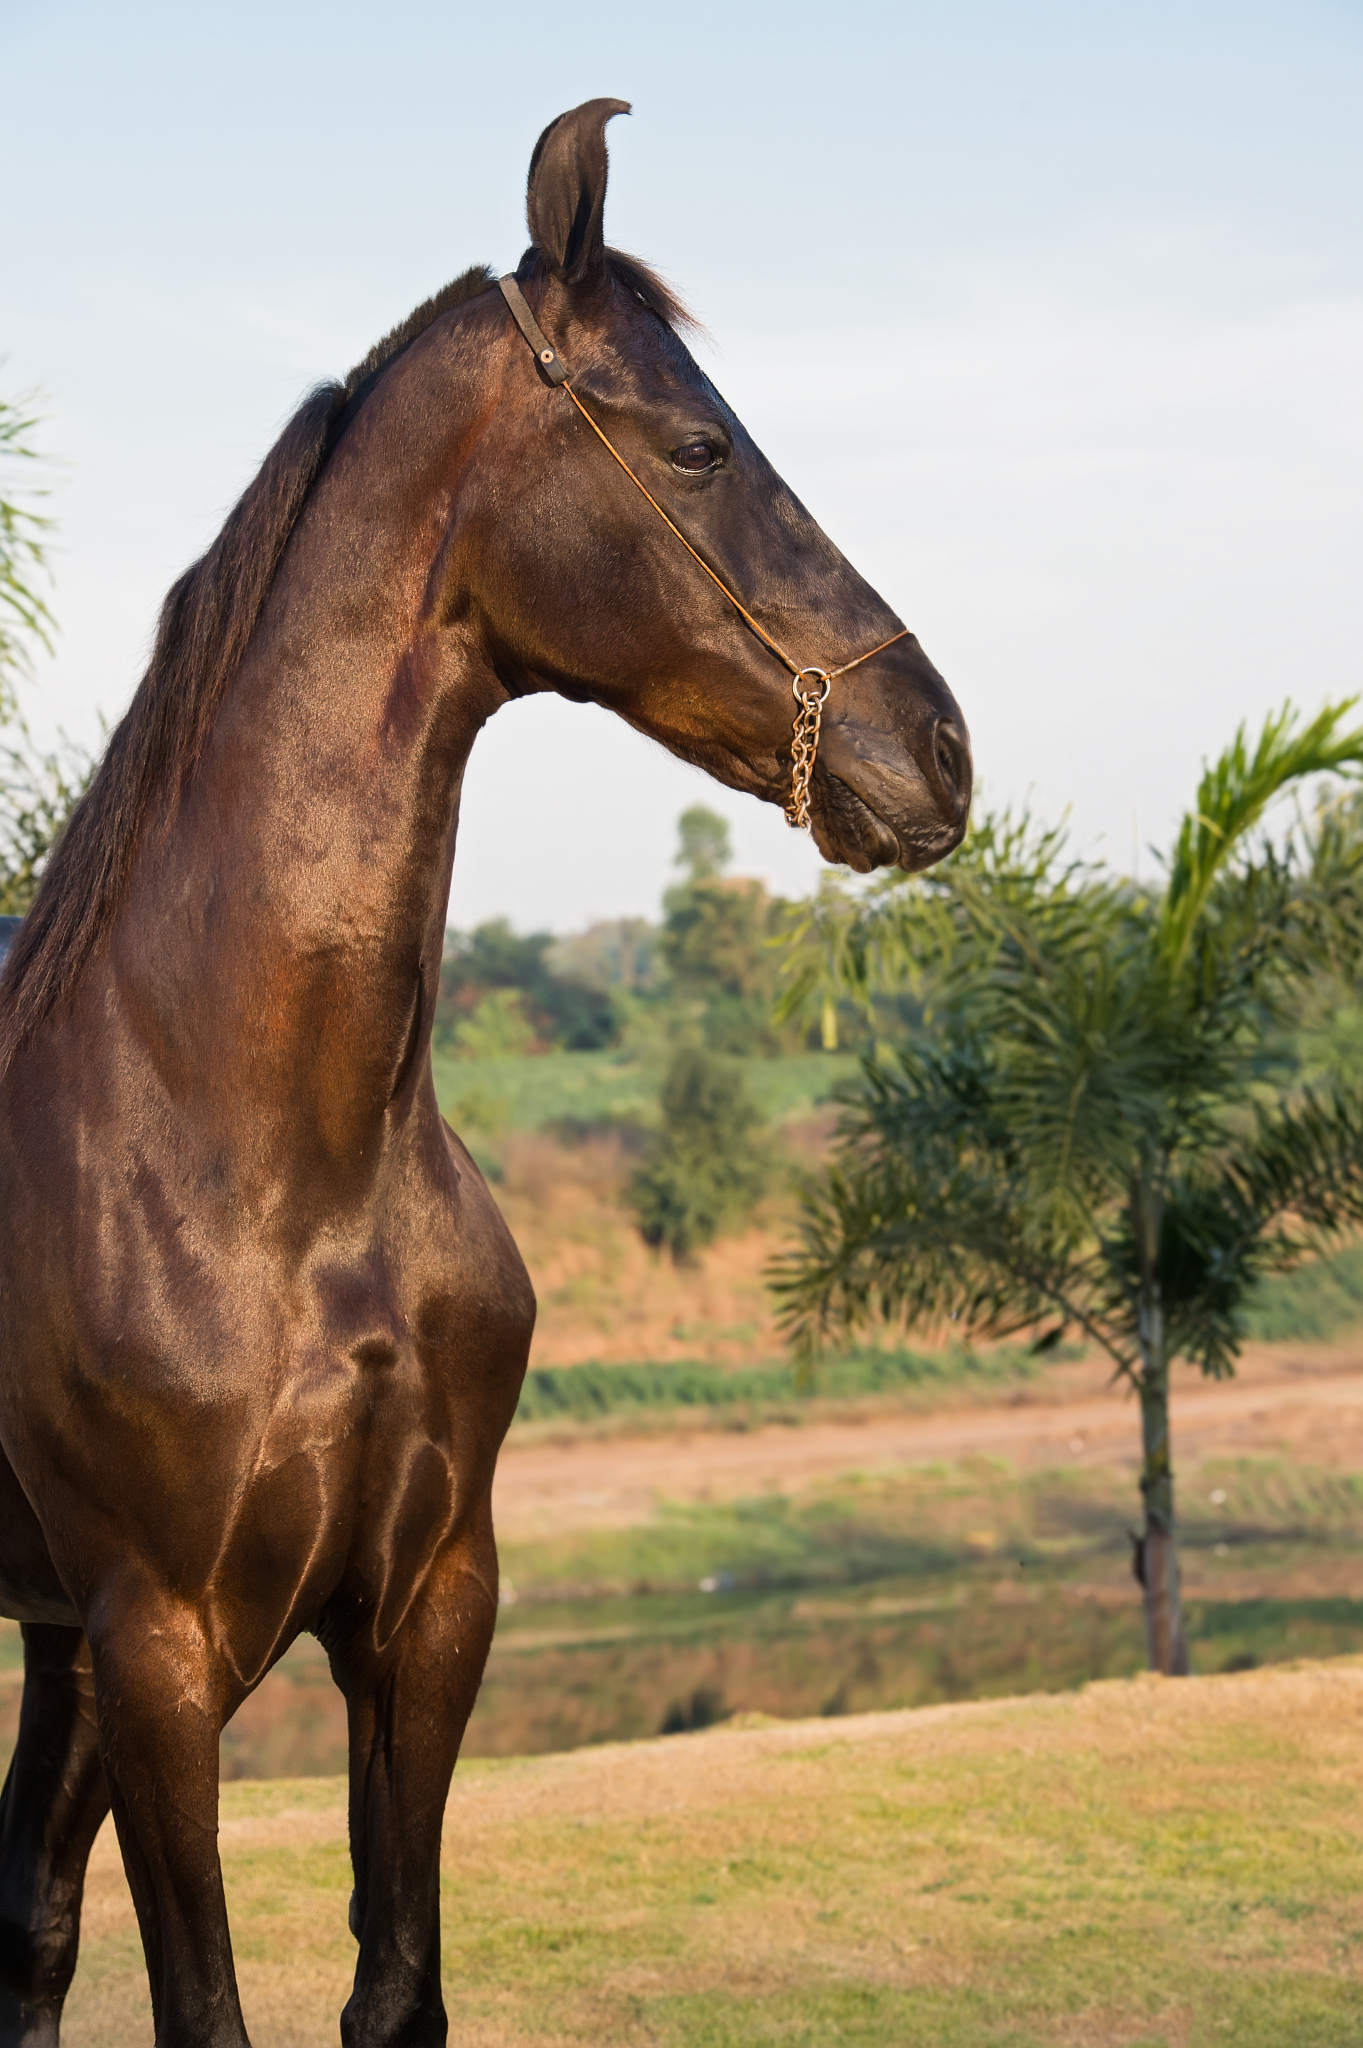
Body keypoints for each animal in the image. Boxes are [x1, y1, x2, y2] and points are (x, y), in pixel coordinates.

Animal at [0, 99, 971, 2047]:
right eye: (697, 444)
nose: (938, 750)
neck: (261, 1154)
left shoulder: (429, 1608)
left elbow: (397, 1986)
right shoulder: (162, 1643)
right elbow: (203, 2004)